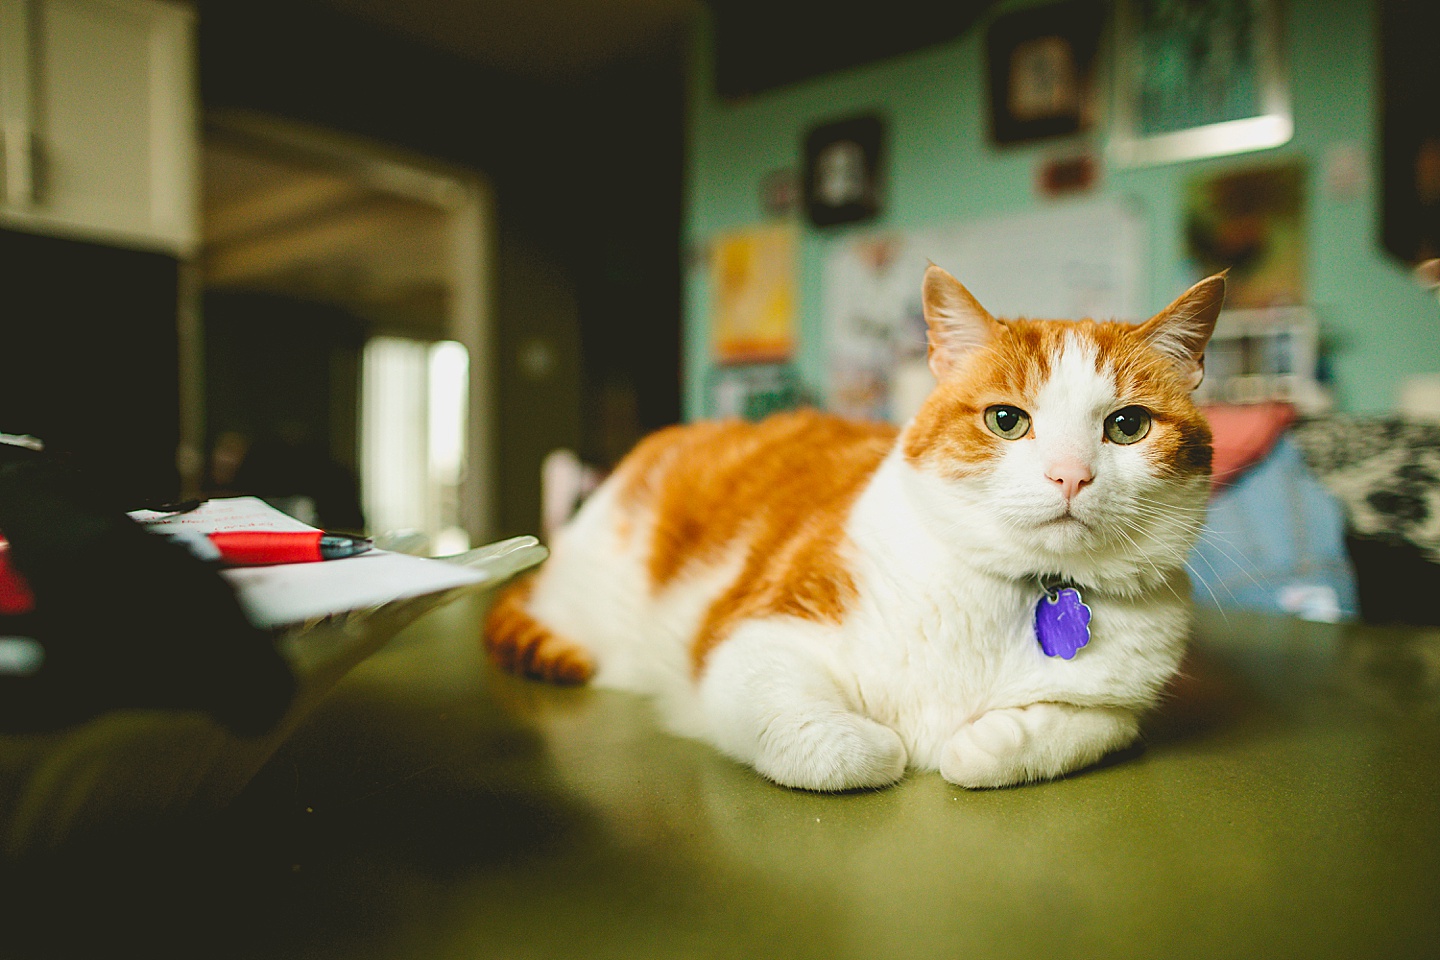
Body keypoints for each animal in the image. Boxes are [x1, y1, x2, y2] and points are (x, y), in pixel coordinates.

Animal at [489, 266, 1221, 794]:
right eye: (1006, 420)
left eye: (1127, 425)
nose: (1070, 475)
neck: (1018, 591)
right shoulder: (751, 641)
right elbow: (847, 750)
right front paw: (891, 744)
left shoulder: (1119, 708)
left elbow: (1062, 734)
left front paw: (980, 741)